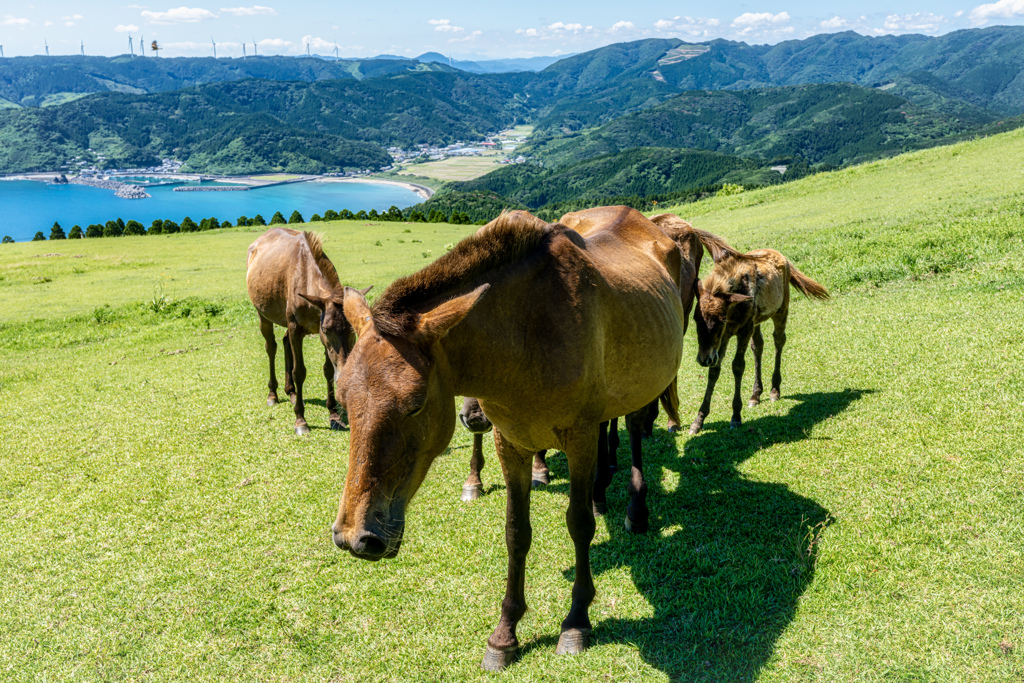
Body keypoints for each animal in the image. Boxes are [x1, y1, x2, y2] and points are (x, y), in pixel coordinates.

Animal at [243, 227, 364, 436]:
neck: (306, 276)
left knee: (284, 343)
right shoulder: (298, 329)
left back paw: (290, 391)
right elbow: (299, 371)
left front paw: (334, 414)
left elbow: (328, 369)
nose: (345, 377)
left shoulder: (318, 335)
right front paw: (300, 420)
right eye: (327, 328)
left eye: (352, 328)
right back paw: (273, 394)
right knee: (271, 347)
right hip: (263, 316)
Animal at [333, 206, 688, 667]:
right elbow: (516, 533)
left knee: (632, 430)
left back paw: (635, 507)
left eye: (414, 404)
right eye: (342, 397)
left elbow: (579, 525)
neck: (530, 331)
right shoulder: (510, 443)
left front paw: (576, 621)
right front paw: (505, 634)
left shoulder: (579, 438)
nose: (355, 537)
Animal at [688, 248, 831, 436]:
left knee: (779, 340)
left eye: (721, 320)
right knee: (758, 346)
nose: (703, 359)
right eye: (696, 318)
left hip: (781, 310)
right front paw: (698, 421)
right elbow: (715, 370)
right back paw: (755, 395)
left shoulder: (743, 330)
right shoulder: (724, 338)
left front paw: (736, 416)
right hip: (756, 322)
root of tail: (783, 257)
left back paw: (774, 390)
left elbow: (738, 366)